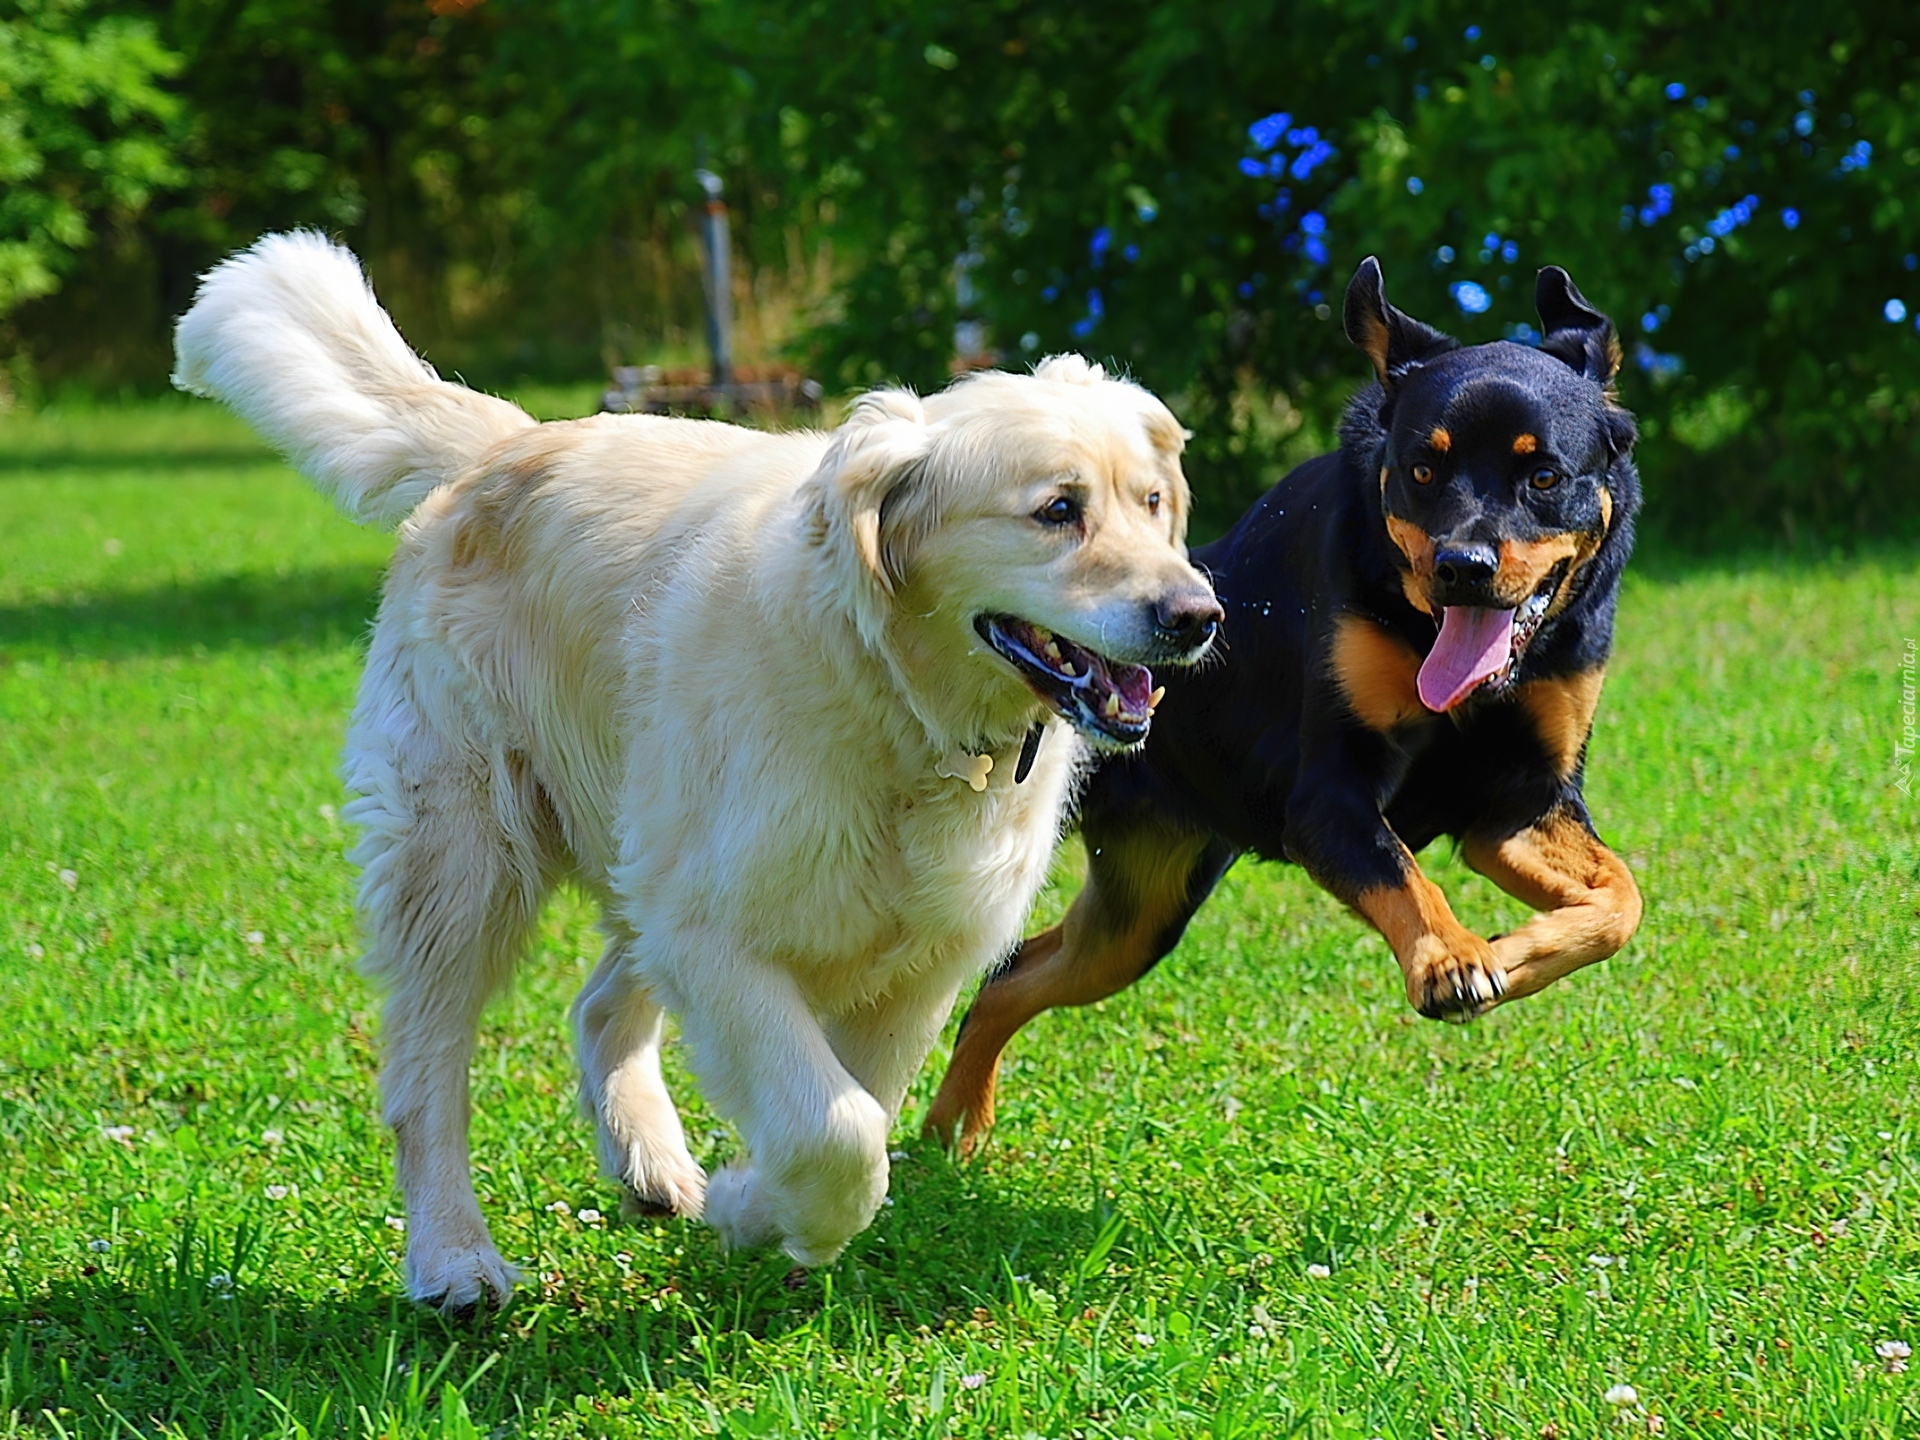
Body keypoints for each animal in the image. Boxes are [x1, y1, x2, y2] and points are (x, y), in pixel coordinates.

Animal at [921, 259, 1643, 1159]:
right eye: (1423, 470)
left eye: (1544, 475)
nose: (1462, 567)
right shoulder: (1329, 798)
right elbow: (1403, 875)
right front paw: (1451, 959)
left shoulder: (1521, 804)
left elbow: (1620, 902)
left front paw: (1519, 952)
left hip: (1142, 909)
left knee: (1013, 976)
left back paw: (952, 1132)